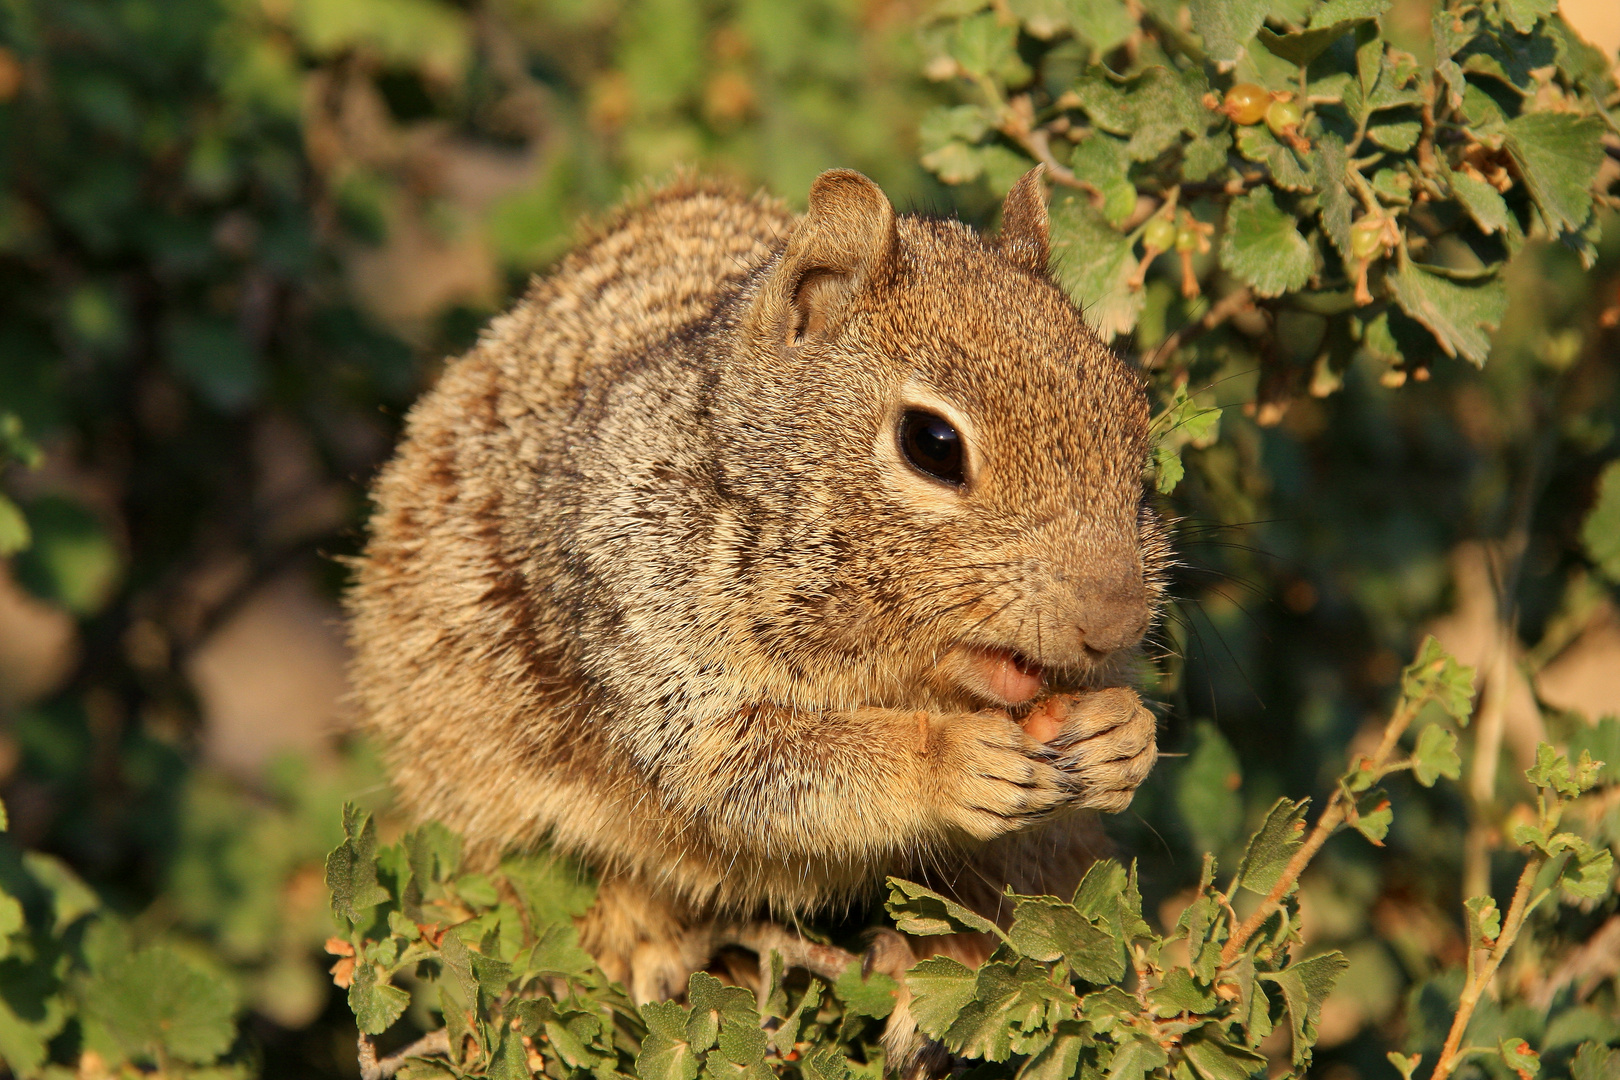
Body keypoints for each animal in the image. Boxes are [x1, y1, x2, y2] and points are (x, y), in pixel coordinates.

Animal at [348, 166, 1172, 1036]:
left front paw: (1123, 734)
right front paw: (948, 758)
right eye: (932, 445)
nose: (1115, 620)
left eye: (1137, 415)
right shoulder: (656, 646)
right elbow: (757, 771)